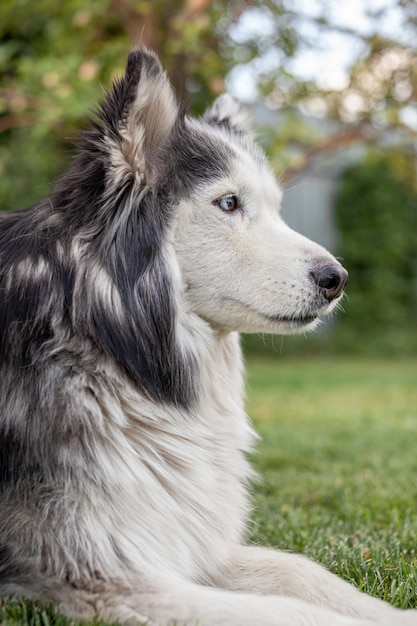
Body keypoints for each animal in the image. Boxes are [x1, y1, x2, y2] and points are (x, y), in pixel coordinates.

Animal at [0, 48, 414, 624]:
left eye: (275, 207)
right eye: (228, 204)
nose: (338, 279)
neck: (102, 342)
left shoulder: (186, 541)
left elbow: (303, 572)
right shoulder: (95, 575)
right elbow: (292, 611)